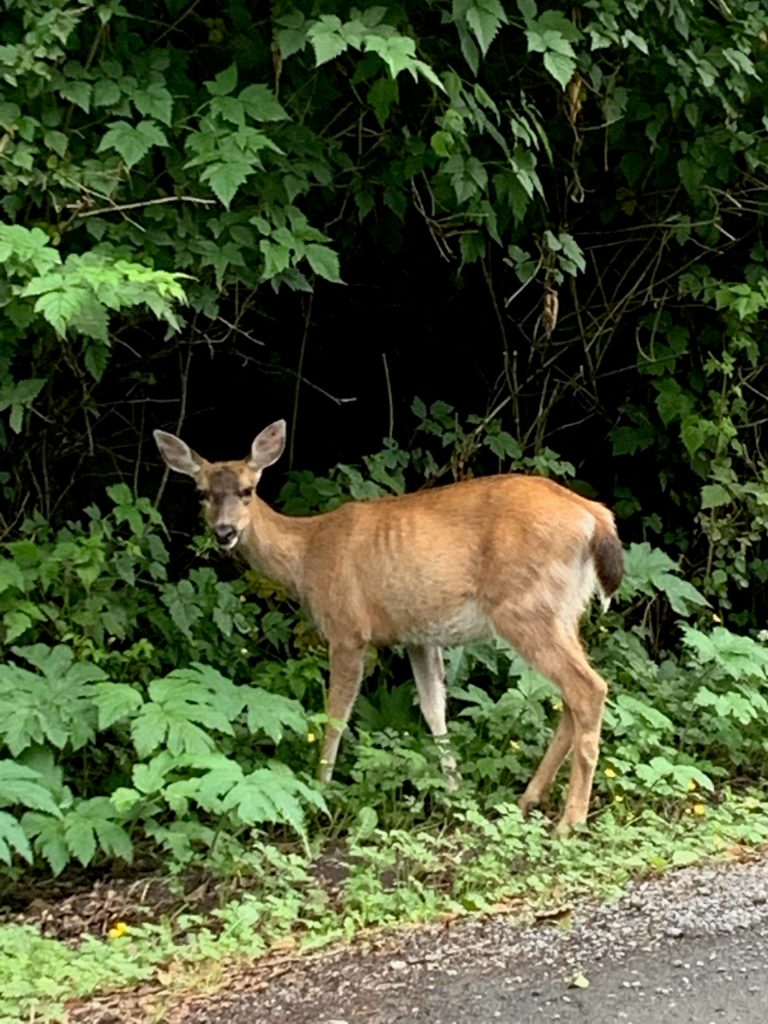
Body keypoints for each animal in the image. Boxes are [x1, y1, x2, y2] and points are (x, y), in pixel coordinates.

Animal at [154, 419, 624, 833]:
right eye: (201, 493)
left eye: (248, 490)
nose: (224, 532)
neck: (307, 555)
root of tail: (595, 516)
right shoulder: (418, 636)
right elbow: (434, 710)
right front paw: (455, 790)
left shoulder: (347, 629)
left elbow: (336, 712)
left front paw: (322, 787)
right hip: (564, 610)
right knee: (572, 696)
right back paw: (529, 798)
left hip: (525, 607)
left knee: (588, 687)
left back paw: (570, 820)